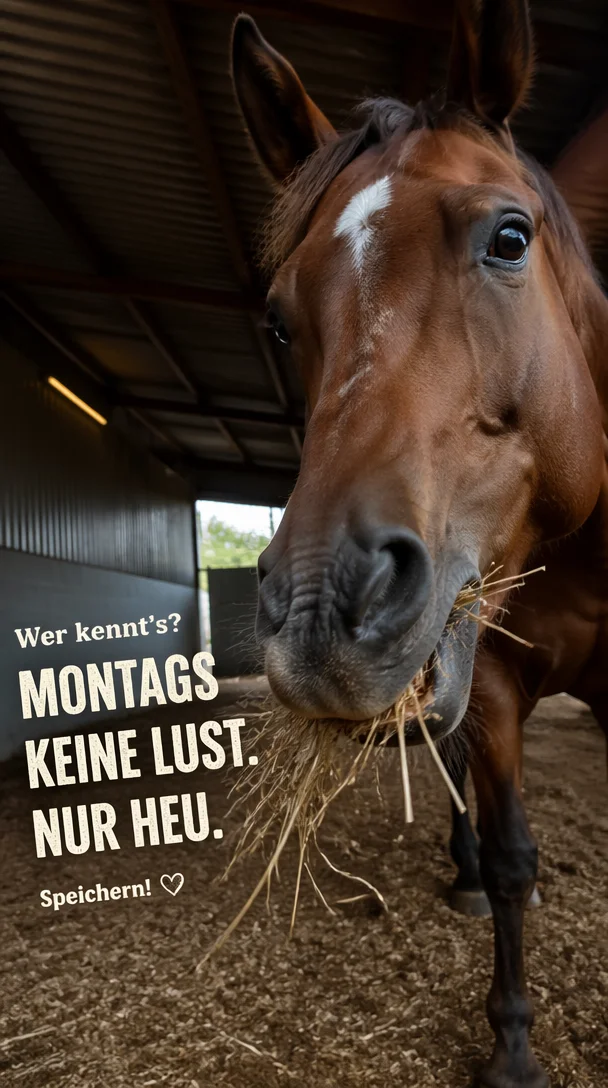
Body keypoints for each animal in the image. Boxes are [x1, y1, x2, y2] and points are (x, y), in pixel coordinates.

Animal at [231, 2, 608, 1085]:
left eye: (509, 237)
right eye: (279, 319)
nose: (320, 610)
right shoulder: (488, 679)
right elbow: (515, 855)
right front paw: (512, 1040)